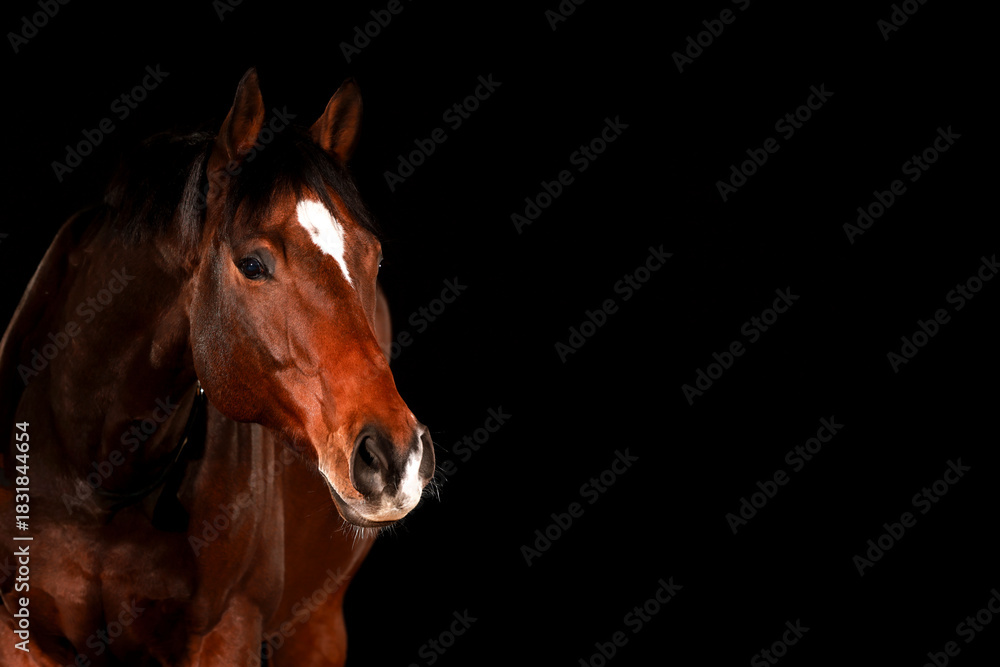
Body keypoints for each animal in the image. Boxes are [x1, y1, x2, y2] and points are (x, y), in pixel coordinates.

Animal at [0, 69, 435, 666]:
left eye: (374, 256)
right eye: (252, 264)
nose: (396, 457)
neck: (92, 472)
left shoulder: (228, 630)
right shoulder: (18, 634)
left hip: (316, 624)